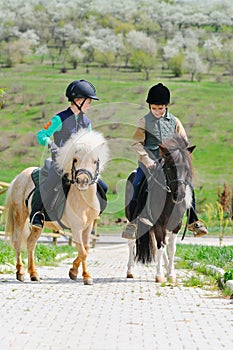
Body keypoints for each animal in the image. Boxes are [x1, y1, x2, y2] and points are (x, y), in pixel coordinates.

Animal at [3, 129, 109, 284]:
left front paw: (74, 271)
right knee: (17, 242)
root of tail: (19, 177)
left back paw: (33, 274)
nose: (82, 181)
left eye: (95, 161)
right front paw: (86, 276)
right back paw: (21, 272)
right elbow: (82, 251)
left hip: (38, 225)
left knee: (30, 243)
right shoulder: (76, 227)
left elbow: (86, 248)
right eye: (75, 159)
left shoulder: (88, 226)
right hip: (20, 216)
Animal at [125, 135, 195, 284]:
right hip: (132, 220)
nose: (180, 194)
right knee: (132, 243)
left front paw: (171, 274)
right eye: (170, 167)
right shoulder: (159, 223)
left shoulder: (175, 225)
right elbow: (160, 247)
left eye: (186, 168)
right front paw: (159, 275)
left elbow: (171, 248)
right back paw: (130, 271)